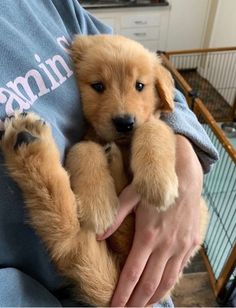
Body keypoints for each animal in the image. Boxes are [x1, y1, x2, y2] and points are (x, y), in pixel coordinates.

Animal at [0, 34, 208, 306]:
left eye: (139, 85)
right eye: (98, 86)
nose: (125, 122)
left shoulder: (154, 121)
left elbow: (153, 128)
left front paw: (157, 182)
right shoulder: (87, 138)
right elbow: (85, 148)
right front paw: (97, 205)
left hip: (200, 211)